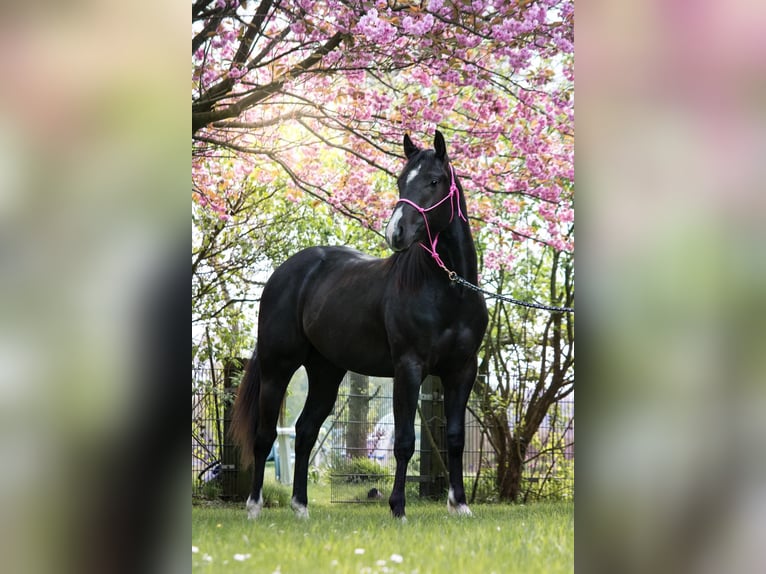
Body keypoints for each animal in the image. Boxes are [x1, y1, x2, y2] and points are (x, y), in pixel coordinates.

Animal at [231, 132, 488, 520]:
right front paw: (398, 508)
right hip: (278, 368)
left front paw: (459, 506)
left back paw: (301, 508)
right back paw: (254, 507)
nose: (396, 233)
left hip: (326, 371)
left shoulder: (462, 370)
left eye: (434, 181)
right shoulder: (408, 367)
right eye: (400, 181)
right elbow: (404, 441)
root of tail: (285, 272)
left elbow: (455, 439)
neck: (450, 290)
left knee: (305, 432)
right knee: (264, 437)